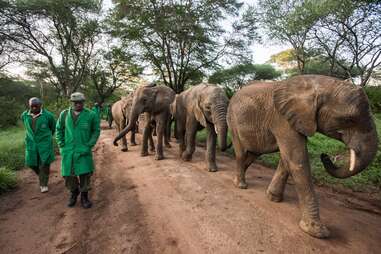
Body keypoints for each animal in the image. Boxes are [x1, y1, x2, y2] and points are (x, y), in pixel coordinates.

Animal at [226, 74, 378, 239]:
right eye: (348, 119)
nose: (324, 156)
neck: (319, 84)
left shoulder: (297, 119)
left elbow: (288, 158)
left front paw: (273, 198)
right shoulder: (282, 119)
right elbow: (297, 160)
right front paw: (317, 232)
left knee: (254, 153)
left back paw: (236, 178)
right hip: (232, 120)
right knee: (241, 153)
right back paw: (240, 185)